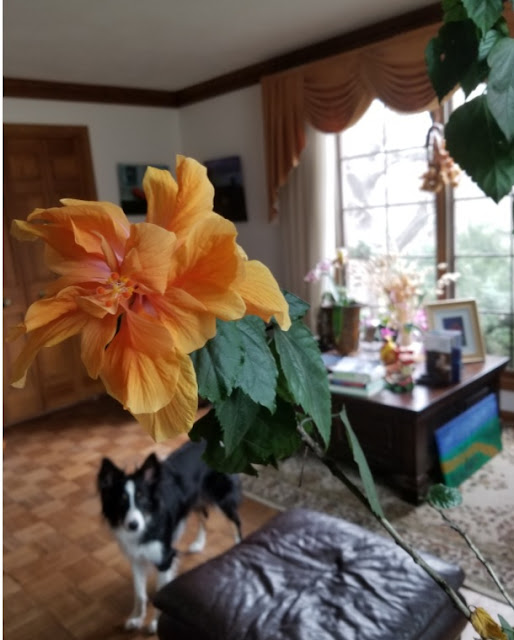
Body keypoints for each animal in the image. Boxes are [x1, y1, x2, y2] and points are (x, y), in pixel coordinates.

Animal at [97, 440, 242, 634]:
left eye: (142, 499)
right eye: (121, 501)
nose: (133, 525)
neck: (149, 521)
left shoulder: (165, 558)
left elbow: (161, 593)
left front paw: (155, 624)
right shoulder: (136, 558)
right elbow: (139, 593)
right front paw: (136, 619)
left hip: (222, 498)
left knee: (236, 523)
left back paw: (239, 546)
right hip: (196, 498)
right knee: (203, 515)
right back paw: (198, 543)